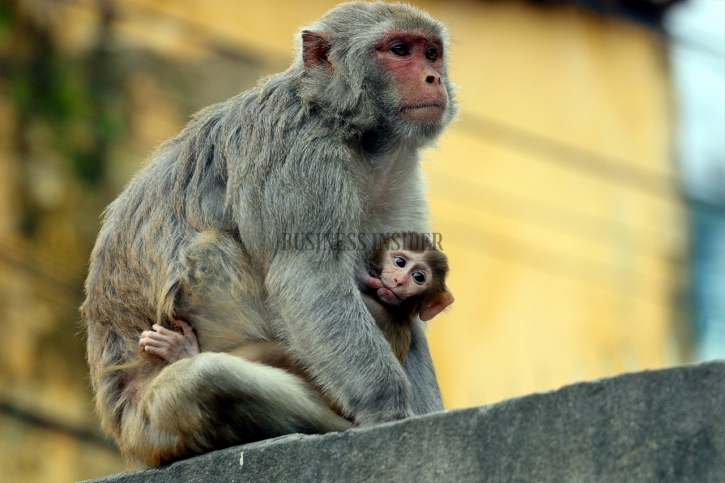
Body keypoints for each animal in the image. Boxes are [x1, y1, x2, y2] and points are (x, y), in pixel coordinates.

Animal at [82, 1, 456, 466]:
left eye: (431, 53)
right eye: (400, 50)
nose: (433, 77)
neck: (351, 130)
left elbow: (406, 311)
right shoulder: (298, 151)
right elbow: (307, 274)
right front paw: (387, 409)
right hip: (154, 423)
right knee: (208, 373)